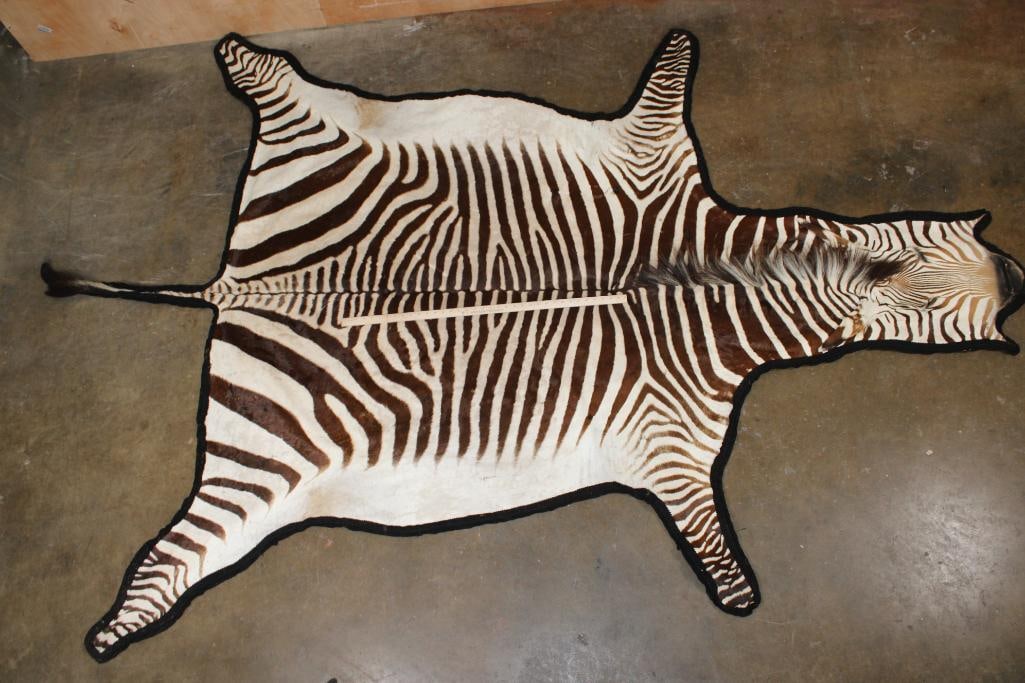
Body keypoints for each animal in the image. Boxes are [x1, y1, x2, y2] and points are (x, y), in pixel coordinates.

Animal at [42, 30, 1022, 661]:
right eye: (970, 326)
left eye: (976, 253)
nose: (1016, 277)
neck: (712, 276)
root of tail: (235, 283)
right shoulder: (677, 436)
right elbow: (667, 87)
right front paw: (740, 597)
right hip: (264, 470)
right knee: (173, 563)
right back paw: (111, 635)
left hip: (263, 449)